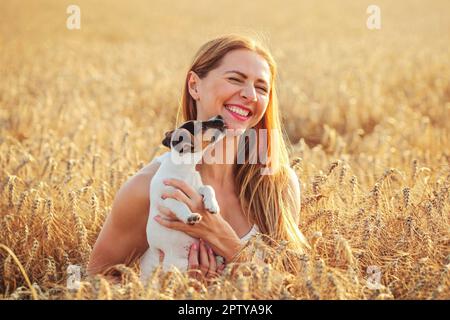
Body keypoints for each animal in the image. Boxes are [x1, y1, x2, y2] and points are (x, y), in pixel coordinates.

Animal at [140, 115, 227, 282]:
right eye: (202, 125)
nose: (220, 117)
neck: (185, 169)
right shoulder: (165, 199)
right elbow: (179, 204)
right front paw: (190, 216)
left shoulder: (197, 188)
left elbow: (208, 188)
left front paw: (213, 205)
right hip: (177, 264)